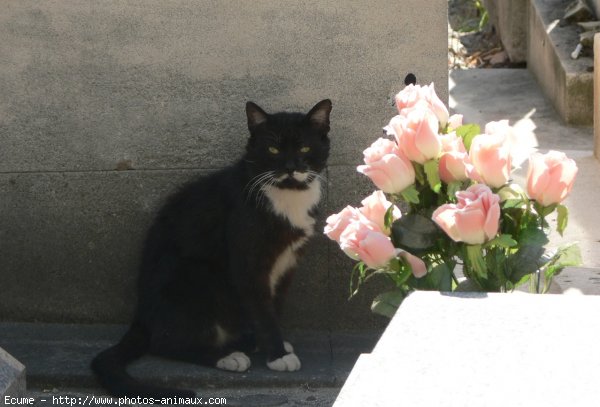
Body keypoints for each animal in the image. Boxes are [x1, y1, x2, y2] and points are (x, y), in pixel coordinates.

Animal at [91, 99, 330, 398]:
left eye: (304, 149)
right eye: (273, 149)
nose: (289, 166)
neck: (286, 195)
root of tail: (141, 317)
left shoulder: (287, 263)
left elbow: (274, 305)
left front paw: (273, 344)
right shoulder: (247, 260)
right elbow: (262, 308)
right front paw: (278, 355)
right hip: (195, 275)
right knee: (164, 343)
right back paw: (227, 356)